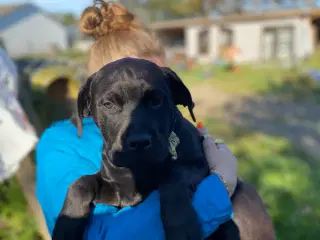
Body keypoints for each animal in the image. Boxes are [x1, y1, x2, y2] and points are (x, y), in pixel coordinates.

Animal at [51, 58, 239, 240]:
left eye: (156, 101)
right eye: (108, 104)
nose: (139, 142)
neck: (139, 169)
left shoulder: (197, 165)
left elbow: (173, 178)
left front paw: (181, 226)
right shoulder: (115, 191)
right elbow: (79, 183)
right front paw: (66, 225)